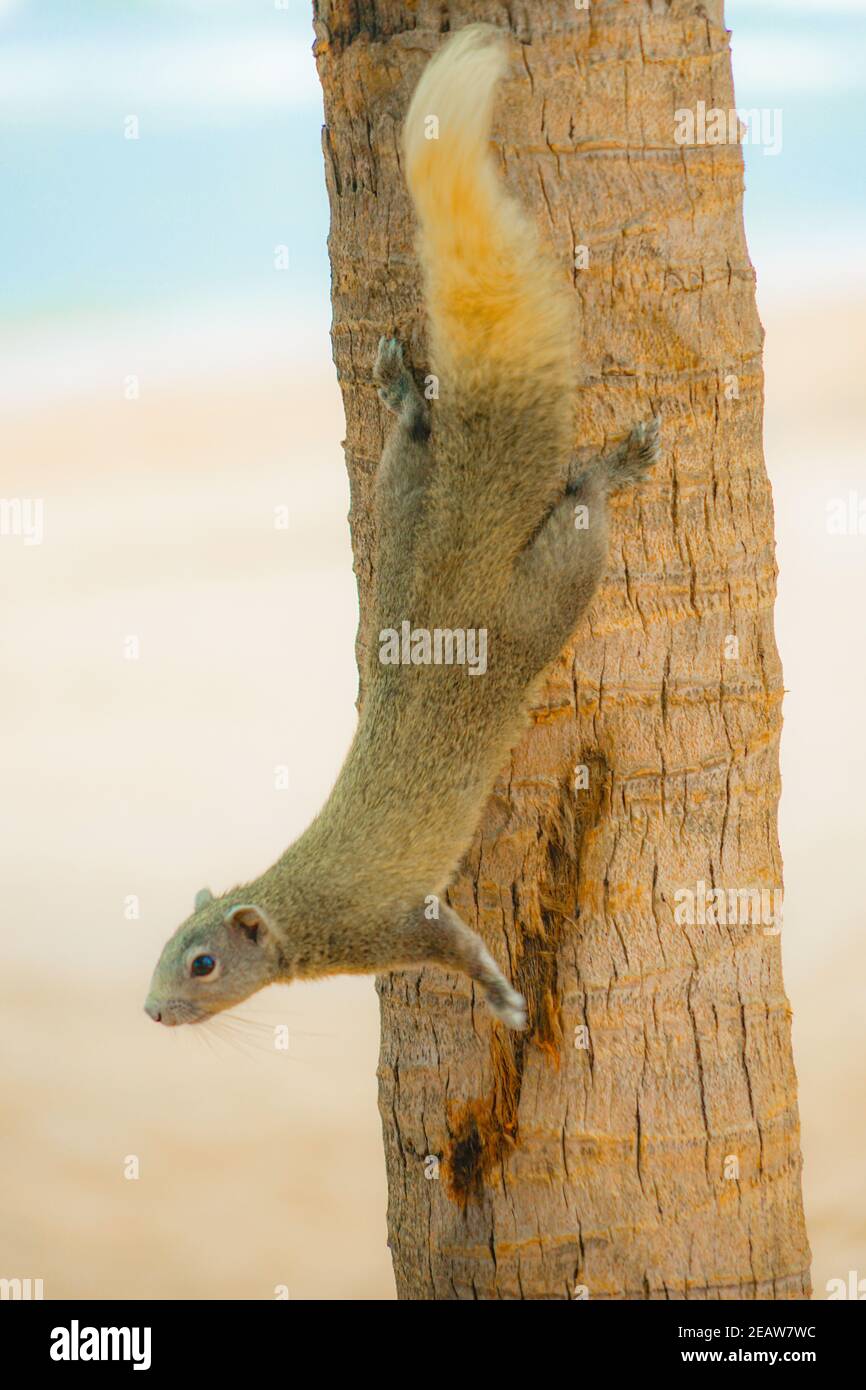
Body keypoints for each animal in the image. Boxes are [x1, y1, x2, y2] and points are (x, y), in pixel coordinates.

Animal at [144, 24, 659, 1034]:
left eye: (203, 964)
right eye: (158, 949)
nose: (151, 1013)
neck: (296, 900)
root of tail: (453, 559)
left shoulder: (393, 920)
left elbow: (458, 946)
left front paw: (505, 1001)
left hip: (545, 596)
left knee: (582, 507)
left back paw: (616, 465)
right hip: (401, 508)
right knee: (413, 452)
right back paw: (400, 396)